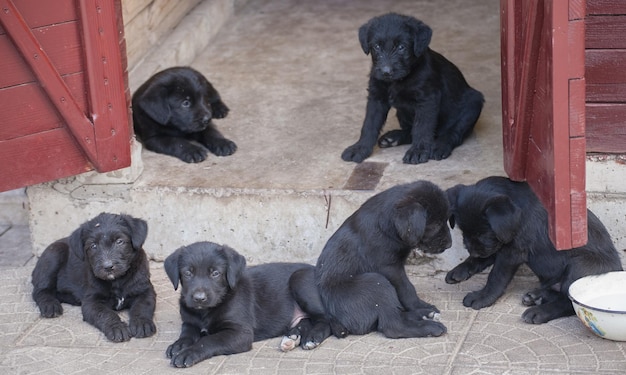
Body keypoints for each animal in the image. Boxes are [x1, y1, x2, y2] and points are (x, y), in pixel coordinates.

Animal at [29, 213, 157, 342]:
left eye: (119, 241)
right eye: (93, 245)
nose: (108, 267)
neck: (117, 281)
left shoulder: (145, 291)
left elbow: (142, 307)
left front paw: (142, 323)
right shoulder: (91, 302)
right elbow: (106, 314)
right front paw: (117, 328)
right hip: (54, 254)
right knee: (40, 291)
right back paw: (50, 306)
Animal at [165, 242, 332, 368]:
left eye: (215, 273)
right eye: (187, 273)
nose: (199, 298)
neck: (205, 312)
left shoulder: (241, 333)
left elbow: (208, 340)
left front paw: (188, 353)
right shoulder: (189, 322)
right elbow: (187, 333)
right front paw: (179, 345)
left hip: (300, 279)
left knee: (328, 321)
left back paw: (312, 337)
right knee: (307, 320)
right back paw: (291, 337)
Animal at [314, 181, 450, 340]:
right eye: (436, 225)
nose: (449, 245)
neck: (387, 225)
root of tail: (335, 320)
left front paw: (422, 308)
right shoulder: (389, 267)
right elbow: (407, 288)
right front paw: (419, 305)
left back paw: (424, 314)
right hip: (375, 282)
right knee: (393, 326)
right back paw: (429, 326)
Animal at [342, 13, 482, 164]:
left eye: (401, 47)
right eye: (377, 46)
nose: (386, 72)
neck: (397, 81)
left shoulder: (427, 99)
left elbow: (422, 127)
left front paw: (418, 151)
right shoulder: (376, 97)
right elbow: (369, 124)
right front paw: (359, 148)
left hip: (473, 104)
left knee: (453, 132)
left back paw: (439, 146)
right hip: (402, 113)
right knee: (410, 130)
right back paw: (393, 138)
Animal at [446, 178, 620, 324]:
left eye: (484, 233)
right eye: (463, 231)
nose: (473, 251)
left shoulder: (511, 252)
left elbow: (496, 277)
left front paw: (483, 296)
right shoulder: (498, 245)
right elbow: (479, 260)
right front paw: (459, 270)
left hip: (579, 265)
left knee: (568, 301)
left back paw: (539, 311)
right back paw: (537, 296)